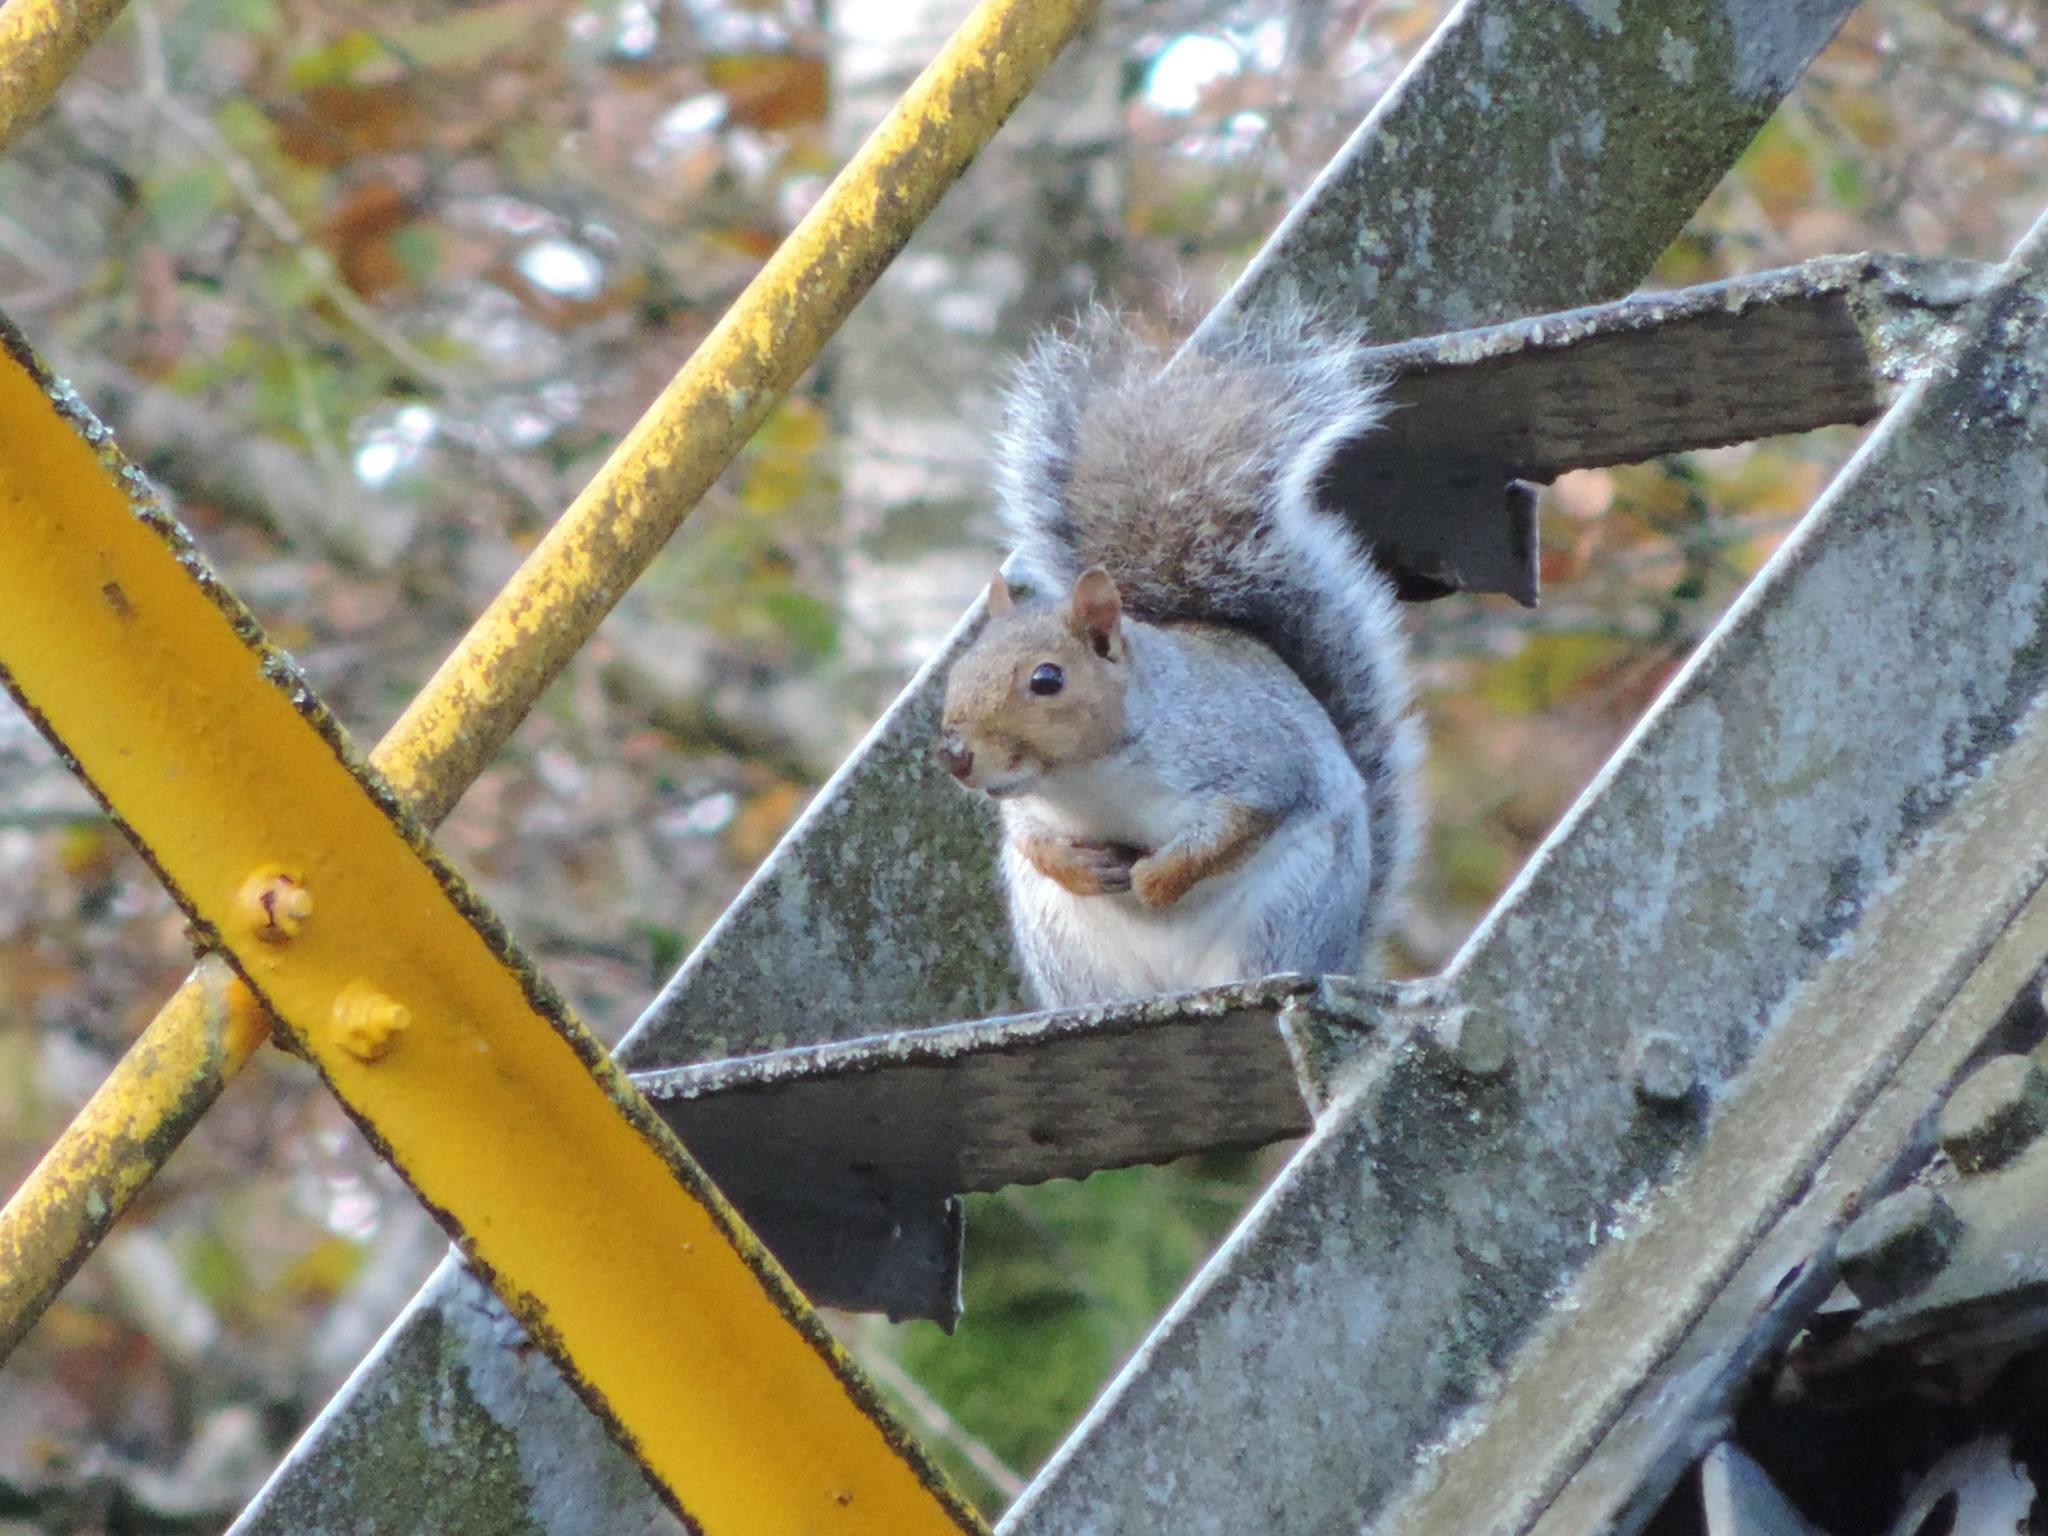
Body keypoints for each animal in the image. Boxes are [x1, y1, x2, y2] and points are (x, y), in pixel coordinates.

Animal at [937, 309, 1417, 1015]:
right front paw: (1082, 867)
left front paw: (1156, 879)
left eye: (1047, 680)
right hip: (1068, 949)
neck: (1088, 780)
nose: (956, 755)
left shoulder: (1253, 760)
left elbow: (1238, 825)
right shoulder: (1029, 809)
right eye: (958, 673)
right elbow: (1029, 838)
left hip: (1286, 913)